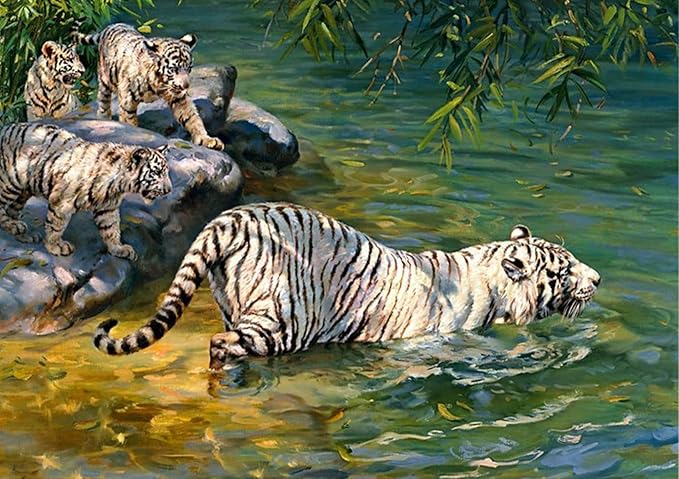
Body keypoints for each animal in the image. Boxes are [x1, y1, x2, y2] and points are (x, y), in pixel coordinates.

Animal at [0, 123, 171, 260]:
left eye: (166, 172)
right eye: (157, 172)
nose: (169, 189)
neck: (118, 185)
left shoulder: (108, 207)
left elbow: (111, 229)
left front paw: (119, 249)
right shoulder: (61, 201)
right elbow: (56, 225)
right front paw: (55, 246)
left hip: (23, 191)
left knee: (12, 210)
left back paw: (22, 231)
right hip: (9, 184)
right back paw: (14, 226)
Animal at [73, 23, 224, 151]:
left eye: (189, 68)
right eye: (173, 69)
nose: (186, 85)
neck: (159, 83)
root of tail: (111, 26)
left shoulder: (179, 97)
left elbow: (192, 117)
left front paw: (207, 140)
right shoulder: (128, 100)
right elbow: (129, 120)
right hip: (105, 80)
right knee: (103, 102)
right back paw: (104, 118)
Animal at [93, 202, 601, 369]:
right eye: (564, 269)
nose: (597, 278)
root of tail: (228, 219)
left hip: (233, 302)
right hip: (282, 318)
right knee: (222, 344)